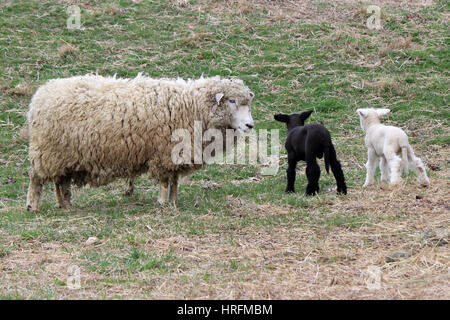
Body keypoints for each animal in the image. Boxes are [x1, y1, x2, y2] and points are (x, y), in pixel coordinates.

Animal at [26, 74, 255, 211]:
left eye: (247, 103)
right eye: (232, 101)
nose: (250, 125)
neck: (192, 106)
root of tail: (41, 94)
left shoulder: (174, 154)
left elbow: (174, 181)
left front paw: (173, 200)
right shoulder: (163, 153)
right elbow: (165, 180)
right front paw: (163, 202)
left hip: (62, 156)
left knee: (60, 181)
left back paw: (64, 204)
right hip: (46, 151)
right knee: (37, 179)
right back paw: (33, 206)